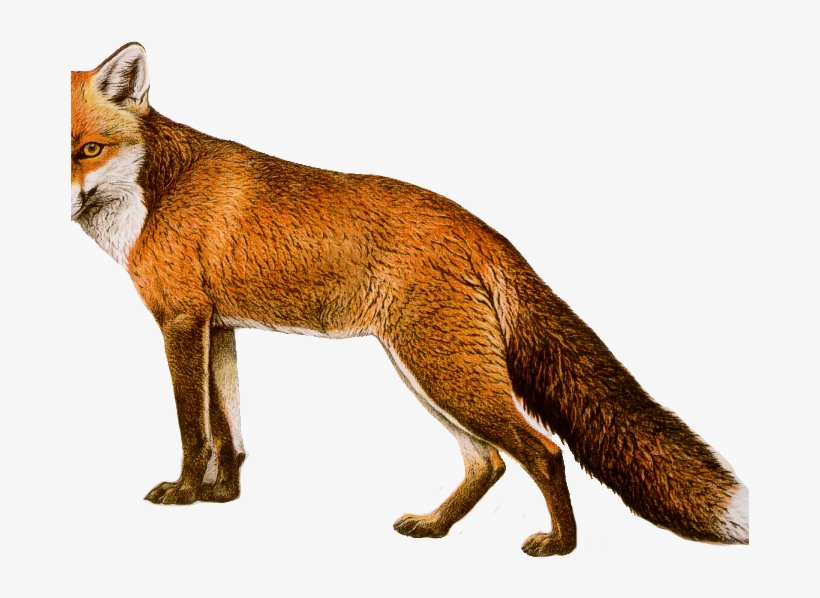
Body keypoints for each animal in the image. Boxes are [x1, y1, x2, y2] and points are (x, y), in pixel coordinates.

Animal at [71, 42, 749, 556]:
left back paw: (561, 546)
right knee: (488, 463)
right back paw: (436, 526)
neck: (154, 191)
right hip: (426, 371)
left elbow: (194, 430)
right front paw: (223, 497)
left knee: (544, 452)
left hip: (444, 372)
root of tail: (479, 227)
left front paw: (185, 494)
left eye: (88, 149)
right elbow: (228, 431)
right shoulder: (218, 327)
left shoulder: (181, 321)